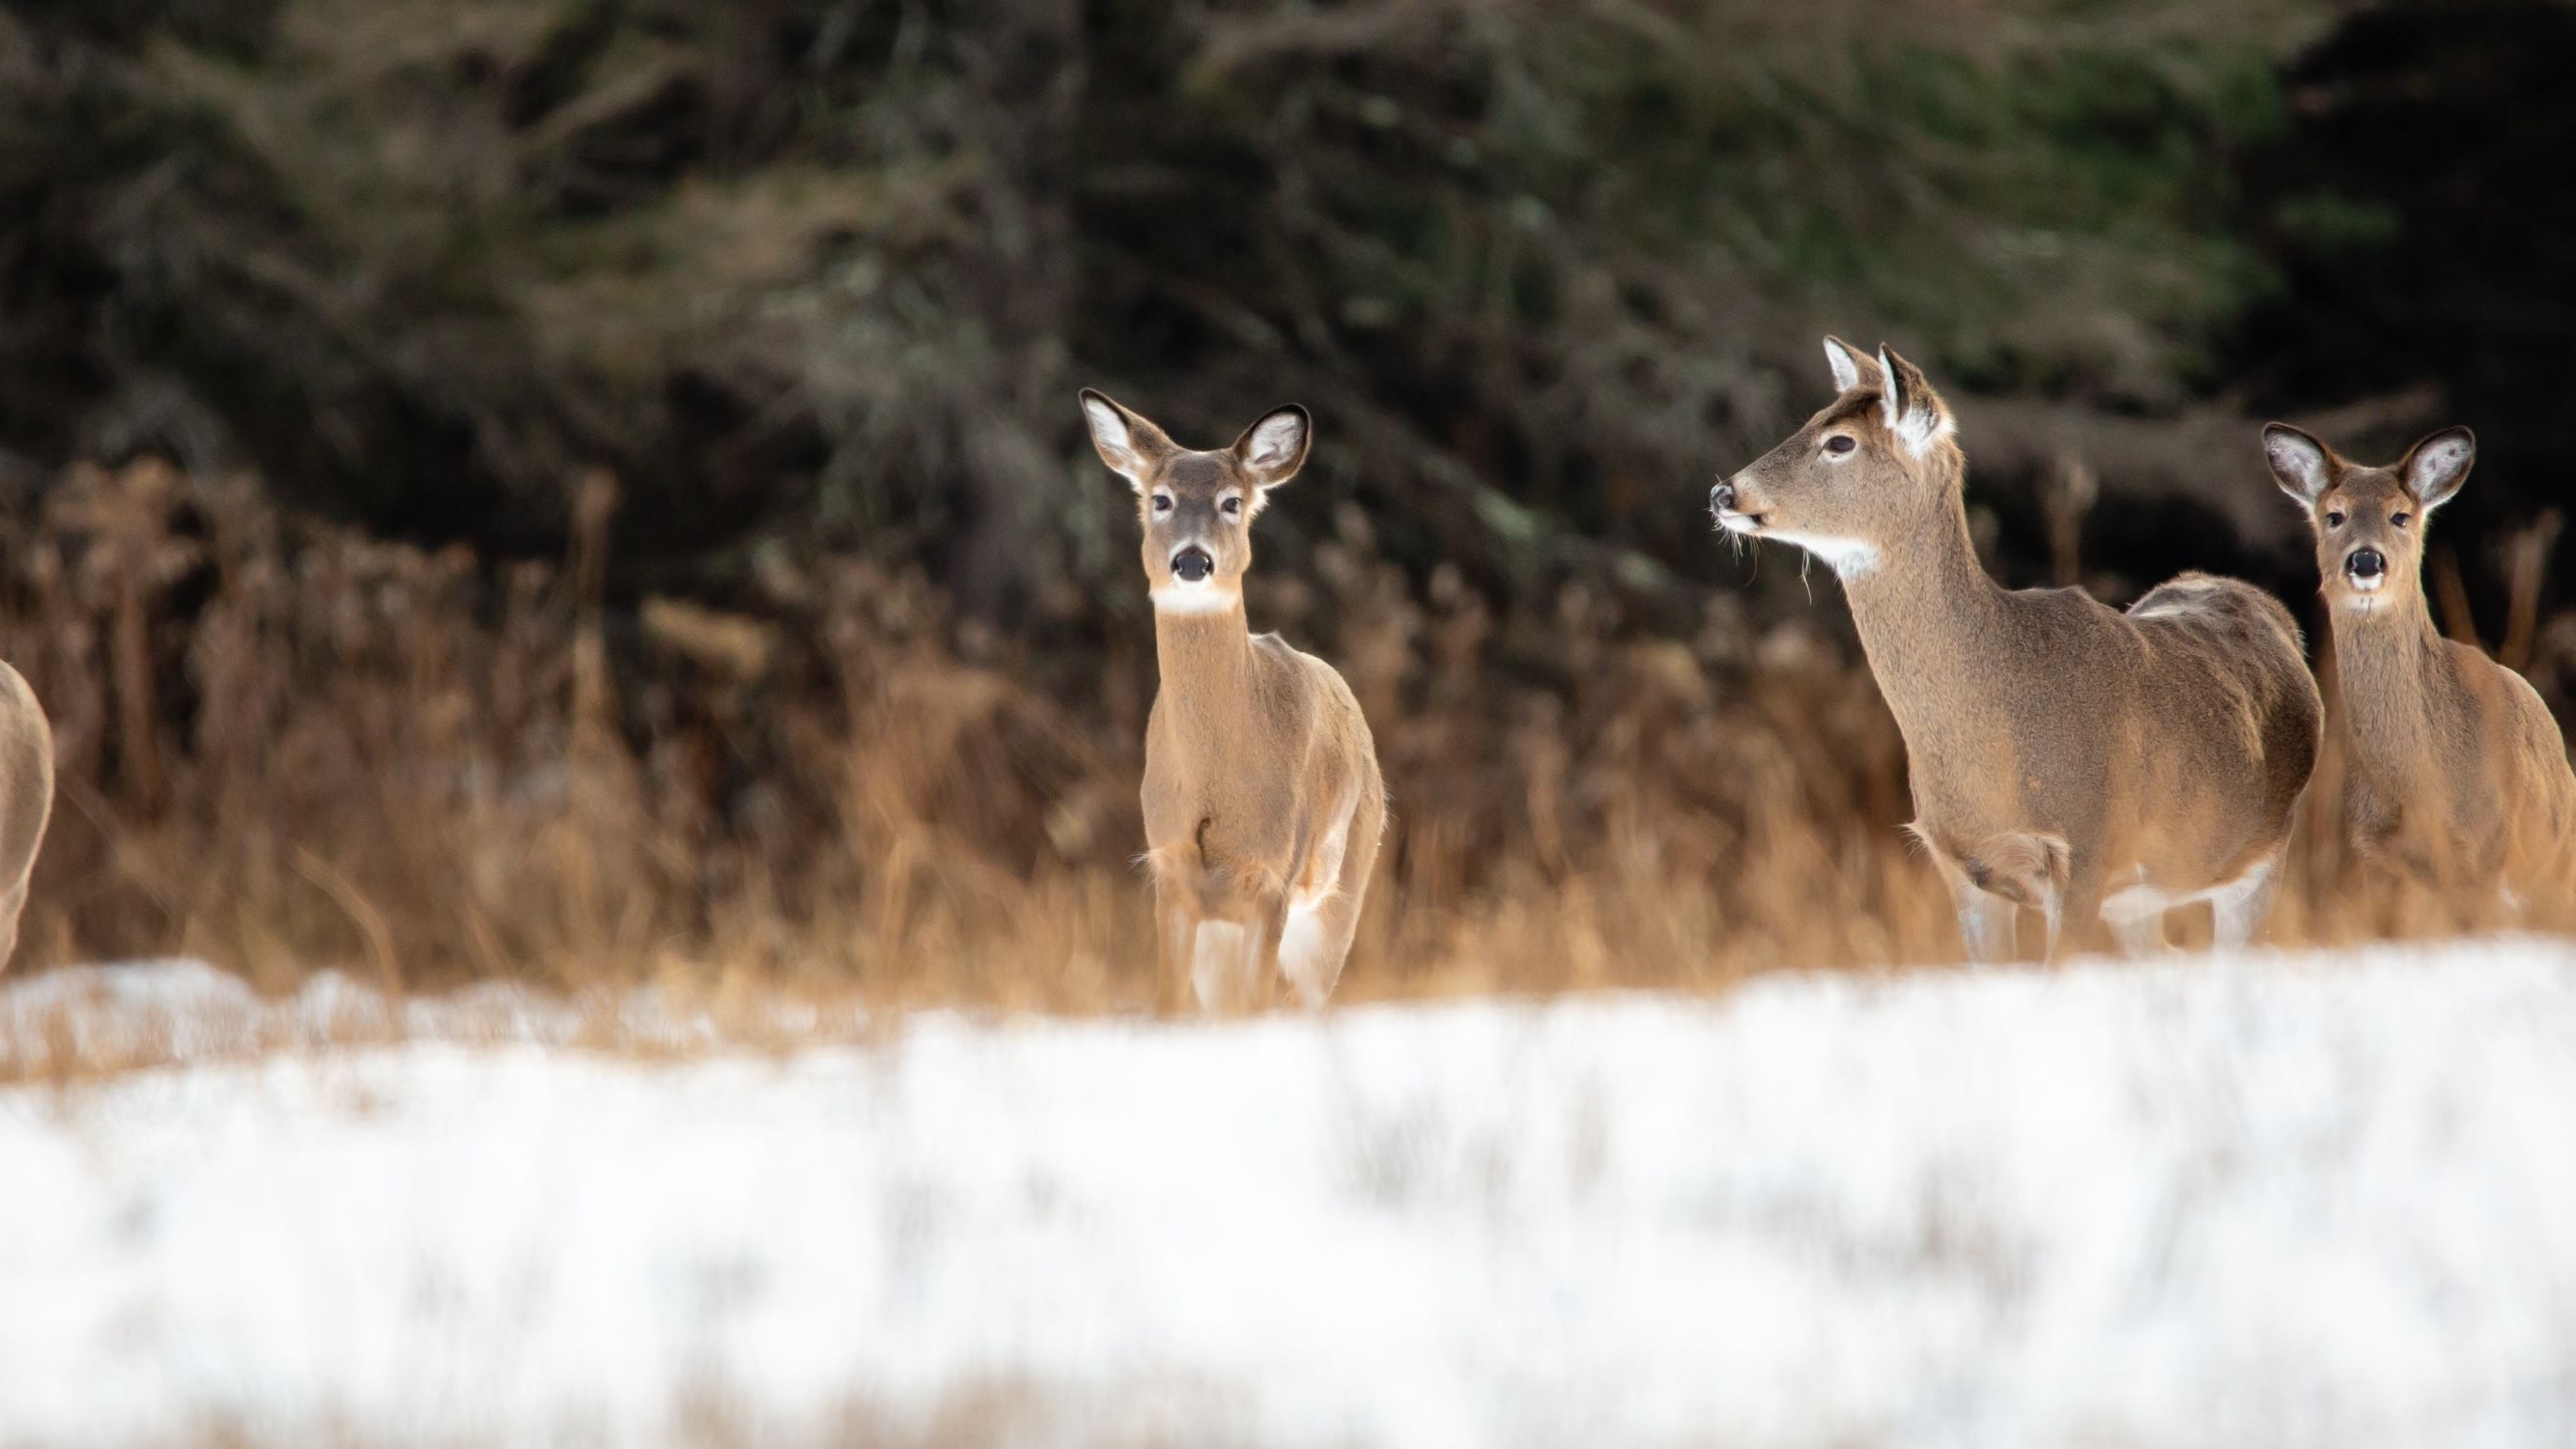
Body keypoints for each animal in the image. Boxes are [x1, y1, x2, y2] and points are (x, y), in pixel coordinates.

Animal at [1071, 389, 1380, 1010]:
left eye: (1232, 502)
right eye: (1161, 499)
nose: (1193, 561)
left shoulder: (1272, 876)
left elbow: (1253, 1008)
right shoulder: (1171, 872)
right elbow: (1169, 1006)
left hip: (1341, 892)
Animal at [1720, 332, 2328, 953]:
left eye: (1840, 442)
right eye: (1809, 420)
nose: (1725, 492)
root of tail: (2264, 605)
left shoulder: (2086, 849)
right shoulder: (1962, 867)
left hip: (2262, 855)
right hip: (2143, 899)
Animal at [2266, 422, 2565, 907]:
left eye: (2400, 516)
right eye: (2335, 515)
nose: (2366, 559)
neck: (2422, 787)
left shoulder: (2486, 851)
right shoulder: (2376, 860)